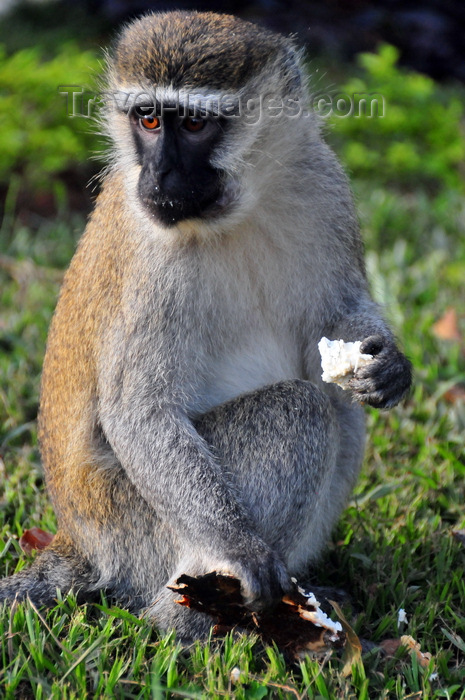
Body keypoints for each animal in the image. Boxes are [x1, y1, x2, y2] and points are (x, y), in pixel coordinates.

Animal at [0, 10, 412, 636]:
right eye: (148, 118)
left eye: (194, 124)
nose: (160, 175)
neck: (237, 210)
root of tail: (78, 539)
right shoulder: (153, 264)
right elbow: (140, 412)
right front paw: (241, 551)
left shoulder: (324, 186)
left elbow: (334, 318)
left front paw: (388, 364)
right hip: (132, 526)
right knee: (303, 410)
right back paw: (189, 620)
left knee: (338, 409)